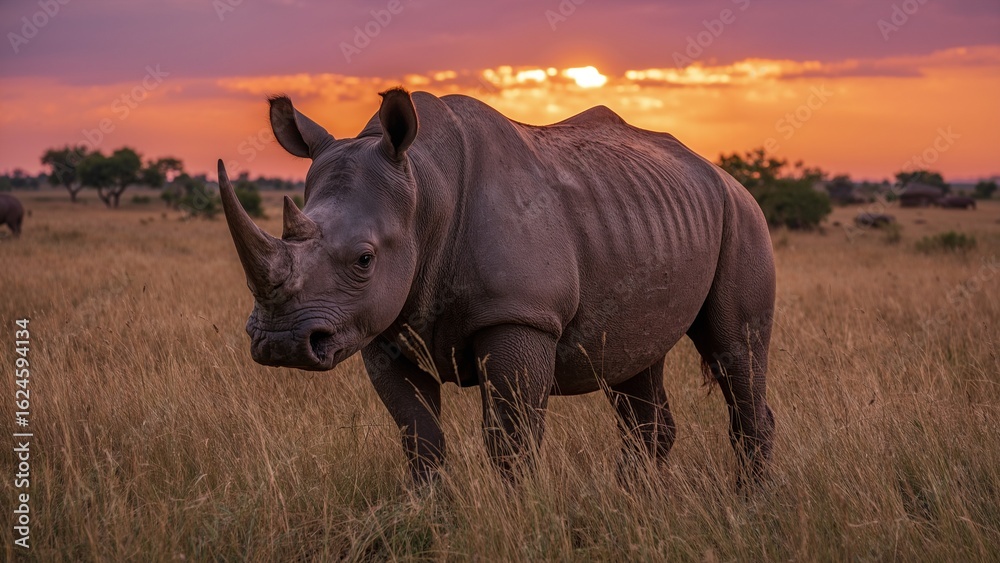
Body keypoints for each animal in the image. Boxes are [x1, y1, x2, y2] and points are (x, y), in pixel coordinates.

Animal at [218, 88, 776, 486]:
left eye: (364, 259)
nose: (281, 343)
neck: (425, 186)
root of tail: (720, 173)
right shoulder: (379, 325)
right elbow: (419, 438)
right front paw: (431, 518)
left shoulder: (520, 315)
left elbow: (512, 440)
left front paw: (519, 515)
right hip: (647, 220)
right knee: (635, 362)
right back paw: (636, 504)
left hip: (743, 218)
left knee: (736, 353)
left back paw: (753, 503)